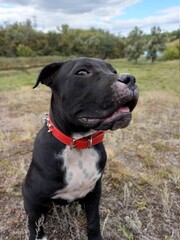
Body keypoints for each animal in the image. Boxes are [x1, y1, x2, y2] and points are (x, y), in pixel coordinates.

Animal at [22, 57, 138, 239]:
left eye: (113, 71)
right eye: (82, 72)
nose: (130, 78)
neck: (78, 143)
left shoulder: (94, 192)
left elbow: (94, 220)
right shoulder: (32, 196)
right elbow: (34, 224)